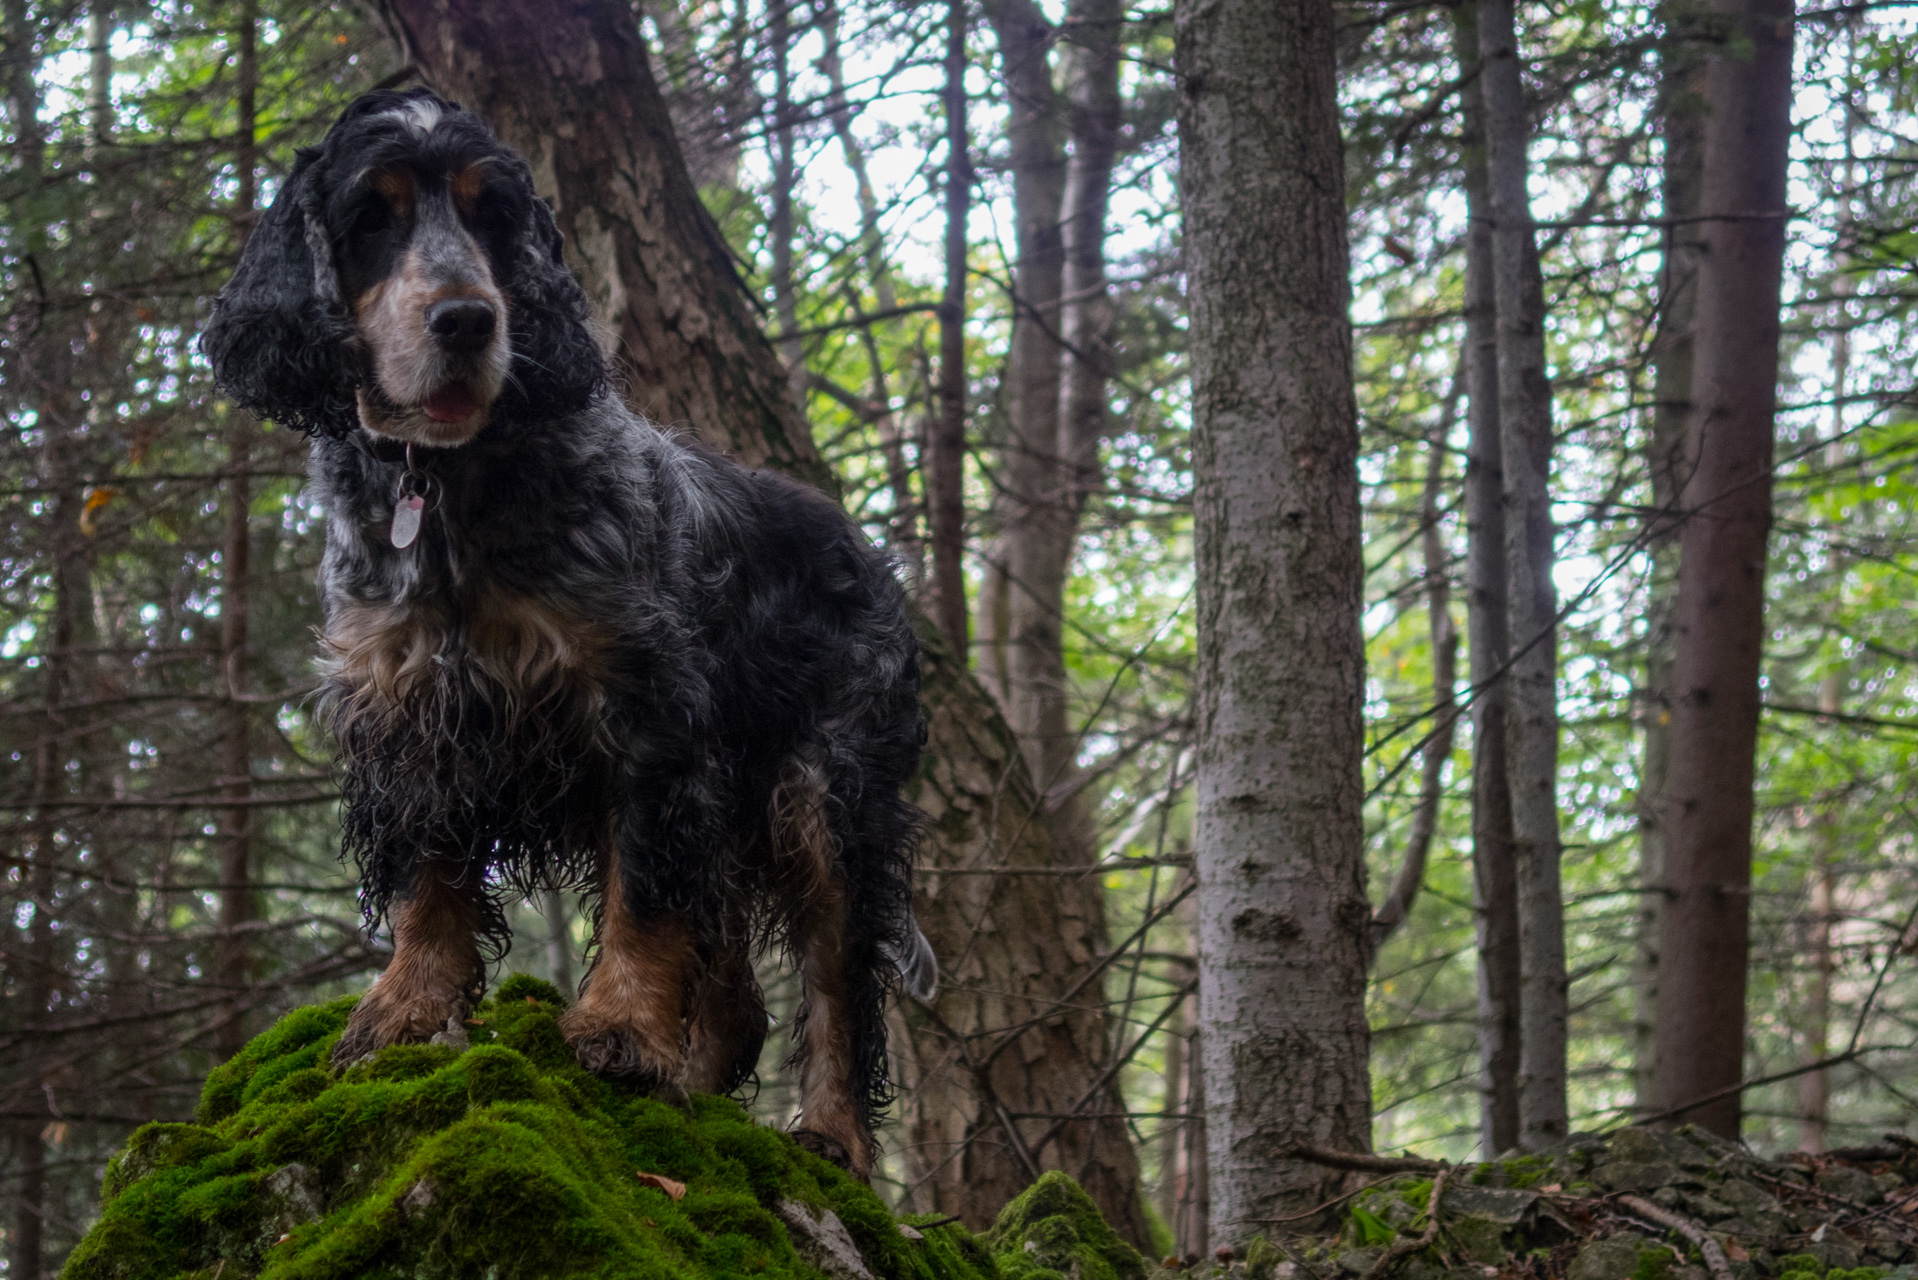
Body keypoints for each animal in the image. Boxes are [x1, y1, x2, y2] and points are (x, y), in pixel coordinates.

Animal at [198, 84, 932, 1174]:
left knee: (838, 981)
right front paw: (405, 1010)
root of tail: (869, 554)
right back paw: (694, 1095)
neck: (449, 486)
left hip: (820, 795)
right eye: (371, 217)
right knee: (741, 995)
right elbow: (427, 883)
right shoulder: (412, 712)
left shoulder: (649, 719)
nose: (468, 318)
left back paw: (828, 1132)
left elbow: (647, 900)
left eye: (493, 214)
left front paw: (619, 1029)